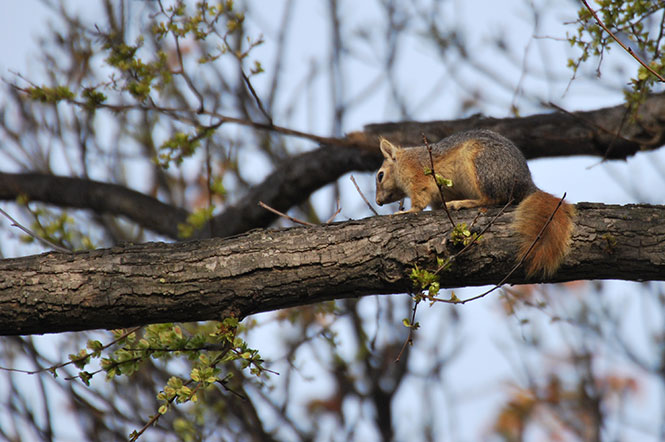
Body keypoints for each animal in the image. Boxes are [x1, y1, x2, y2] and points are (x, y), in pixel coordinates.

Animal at [376, 129, 572, 278]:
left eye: (380, 175)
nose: (378, 202)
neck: (403, 161)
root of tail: (526, 185)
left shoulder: (418, 176)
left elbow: (419, 200)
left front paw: (407, 211)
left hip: (481, 165)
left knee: (491, 199)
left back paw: (463, 203)